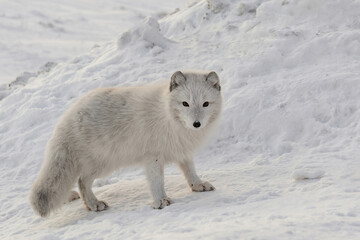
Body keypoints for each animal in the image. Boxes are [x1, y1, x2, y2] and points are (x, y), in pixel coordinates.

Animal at [29, 70, 224, 217]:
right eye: (185, 103)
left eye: (206, 104)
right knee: (82, 181)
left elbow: (190, 171)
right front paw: (160, 201)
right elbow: (157, 181)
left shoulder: (182, 150)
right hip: (103, 163)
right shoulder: (152, 156)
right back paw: (94, 204)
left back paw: (91, 204)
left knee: (81, 181)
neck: (168, 117)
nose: (196, 124)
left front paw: (198, 185)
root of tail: (67, 118)